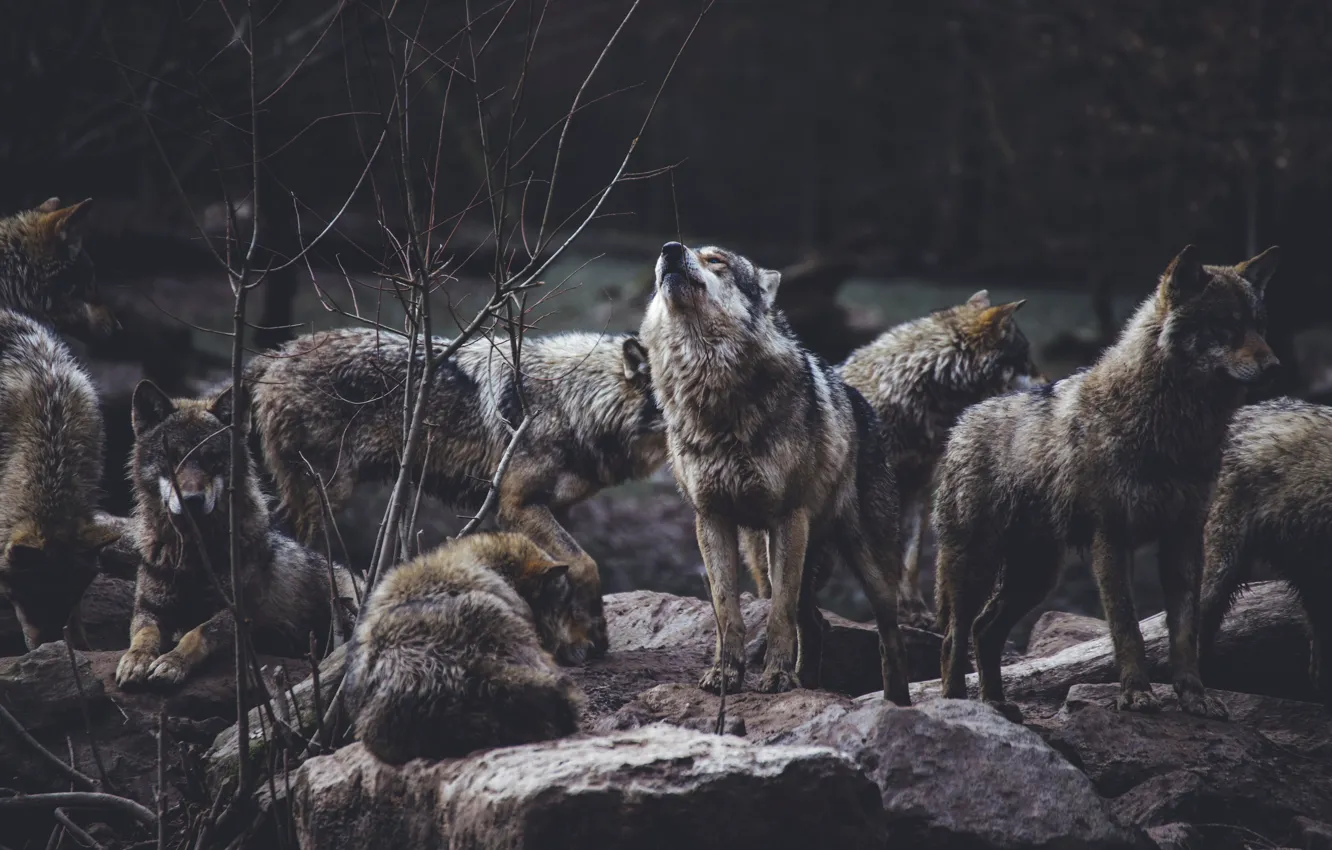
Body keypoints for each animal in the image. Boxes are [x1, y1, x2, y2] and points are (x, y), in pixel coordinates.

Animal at [115, 381, 360, 688]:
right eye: (173, 458)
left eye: (212, 459)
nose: (192, 500)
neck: (193, 555)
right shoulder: (149, 609)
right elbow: (144, 634)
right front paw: (135, 660)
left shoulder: (237, 614)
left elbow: (196, 633)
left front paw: (172, 662)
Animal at [246, 328, 668, 659]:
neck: (574, 402)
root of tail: (276, 354)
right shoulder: (517, 505)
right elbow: (586, 564)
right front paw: (593, 634)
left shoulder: (553, 509)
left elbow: (564, 575)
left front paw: (577, 638)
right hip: (326, 496)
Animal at [639, 241, 910, 702]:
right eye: (674, 253)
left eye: (716, 260)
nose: (670, 249)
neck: (712, 394)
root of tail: (862, 402)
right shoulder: (711, 519)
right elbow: (727, 612)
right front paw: (725, 676)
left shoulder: (787, 518)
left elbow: (778, 615)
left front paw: (778, 678)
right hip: (766, 557)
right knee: (815, 622)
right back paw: (811, 684)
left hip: (867, 565)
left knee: (888, 639)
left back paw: (897, 703)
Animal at [934, 245, 1280, 720]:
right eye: (1225, 325)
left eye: (1259, 326)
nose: (1275, 366)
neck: (1173, 428)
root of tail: (963, 420)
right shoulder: (1111, 538)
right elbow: (1126, 626)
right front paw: (1136, 695)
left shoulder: (1184, 539)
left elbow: (1185, 632)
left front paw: (1194, 696)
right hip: (978, 565)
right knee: (955, 634)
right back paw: (958, 706)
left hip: (1036, 576)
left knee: (985, 629)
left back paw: (997, 705)